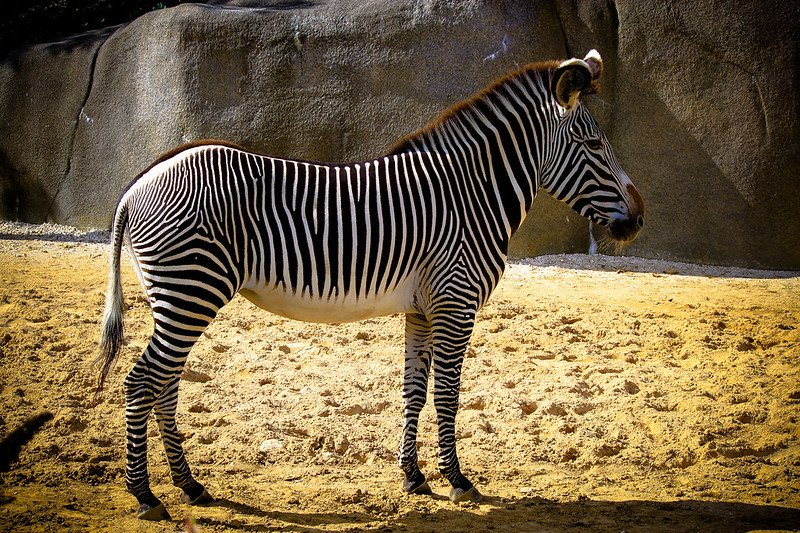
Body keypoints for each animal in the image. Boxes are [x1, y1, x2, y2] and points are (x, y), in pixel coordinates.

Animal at [97, 50, 644, 520]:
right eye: (594, 145)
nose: (638, 220)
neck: (471, 194)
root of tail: (137, 183)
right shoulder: (457, 301)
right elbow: (447, 393)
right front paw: (457, 481)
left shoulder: (424, 308)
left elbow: (414, 390)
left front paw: (413, 477)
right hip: (191, 290)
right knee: (141, 383)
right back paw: (145, 494)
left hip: (180, 298)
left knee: (165, 385)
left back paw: (190, 486)